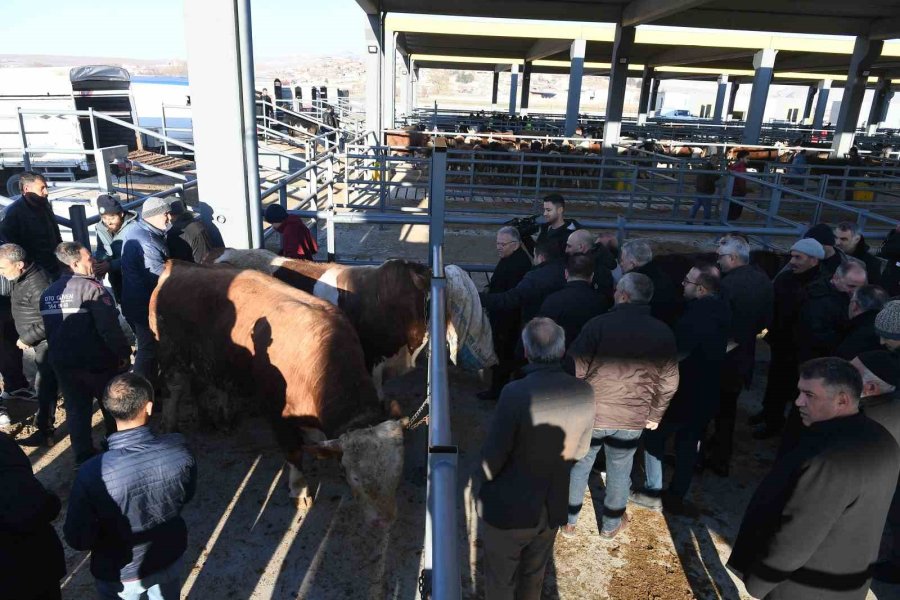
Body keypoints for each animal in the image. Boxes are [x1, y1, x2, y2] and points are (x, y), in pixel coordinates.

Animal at [149, 260, 402, 524]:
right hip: (170, 352)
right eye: (353, 477)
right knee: (175, 389)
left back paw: (214, 420)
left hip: (209, 359)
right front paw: (299, 490)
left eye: (398, 472)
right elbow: (293, 451)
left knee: (204, 384)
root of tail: (178, 265)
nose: (385, 520)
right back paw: (170, 424)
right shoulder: (277, 413)